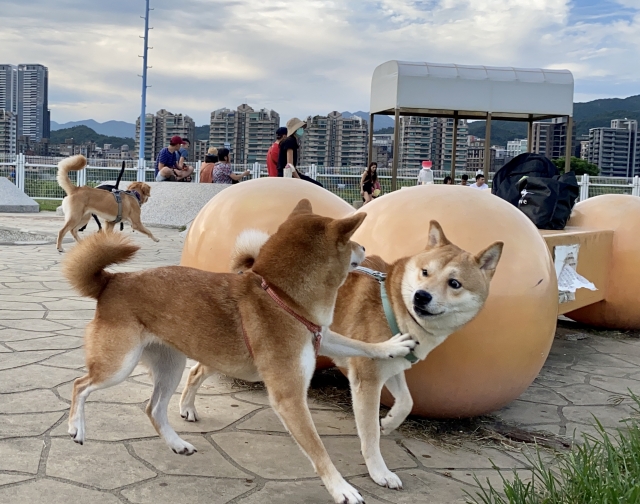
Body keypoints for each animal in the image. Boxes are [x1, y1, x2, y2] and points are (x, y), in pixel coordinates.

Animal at [62, 201, 418, 504]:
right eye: (352, 240)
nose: (366, 249)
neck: (282, 297)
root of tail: (111, 282)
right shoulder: (289, 397)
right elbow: (319, 451)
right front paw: (342, 489)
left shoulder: (321, 337)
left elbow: (359, 344)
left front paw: (392, 346)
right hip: (118, 366)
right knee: (81, 385)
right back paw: (76, 428)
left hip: (171, 366)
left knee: (154, 409)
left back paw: (177, 444)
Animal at [181, 220, 504, 492]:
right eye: (425, 272)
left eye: (454, 283)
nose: (421, 296)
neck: (396, 305)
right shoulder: (367, 379)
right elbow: (370, 435)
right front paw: (380, 471)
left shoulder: (391, 368)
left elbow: (407, 403)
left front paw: (389, 422)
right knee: (197, 371)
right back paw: (186, 407)